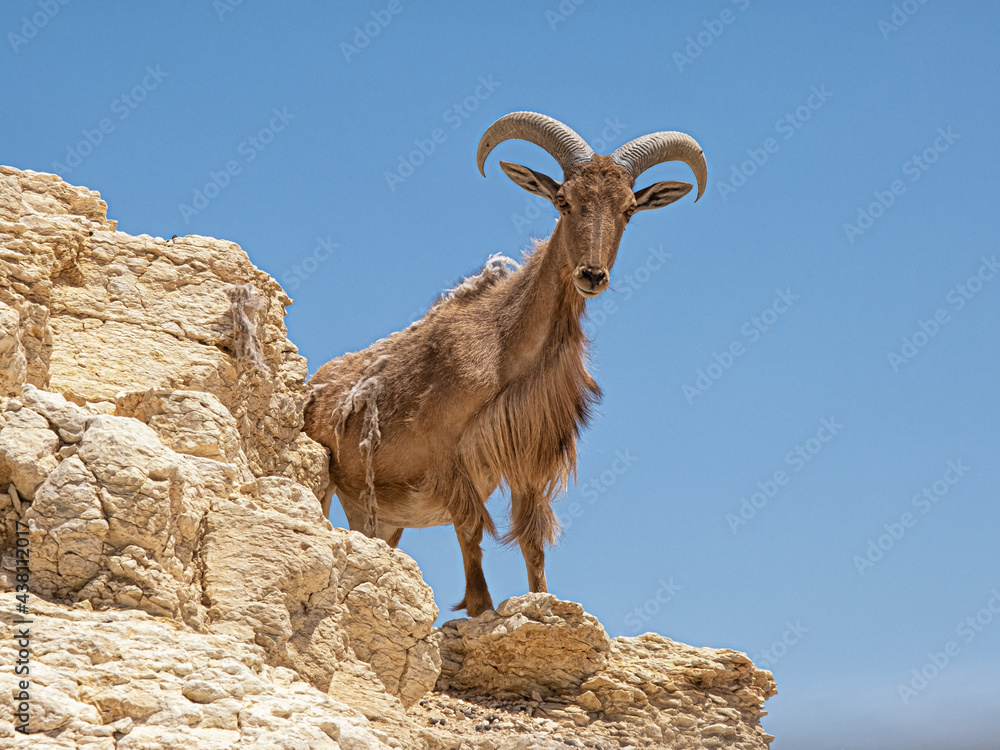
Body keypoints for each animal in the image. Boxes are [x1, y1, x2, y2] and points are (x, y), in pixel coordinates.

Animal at [304, 112, 706, 616]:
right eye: (563, 201)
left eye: (629, 209)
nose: (592, 275)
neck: (504, 349)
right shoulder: (451, 460)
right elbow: (472, 538)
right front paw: (481, 609)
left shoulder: (527, 457)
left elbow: (532, 541)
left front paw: (541, 601)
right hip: (329, 487)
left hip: (380, 518)